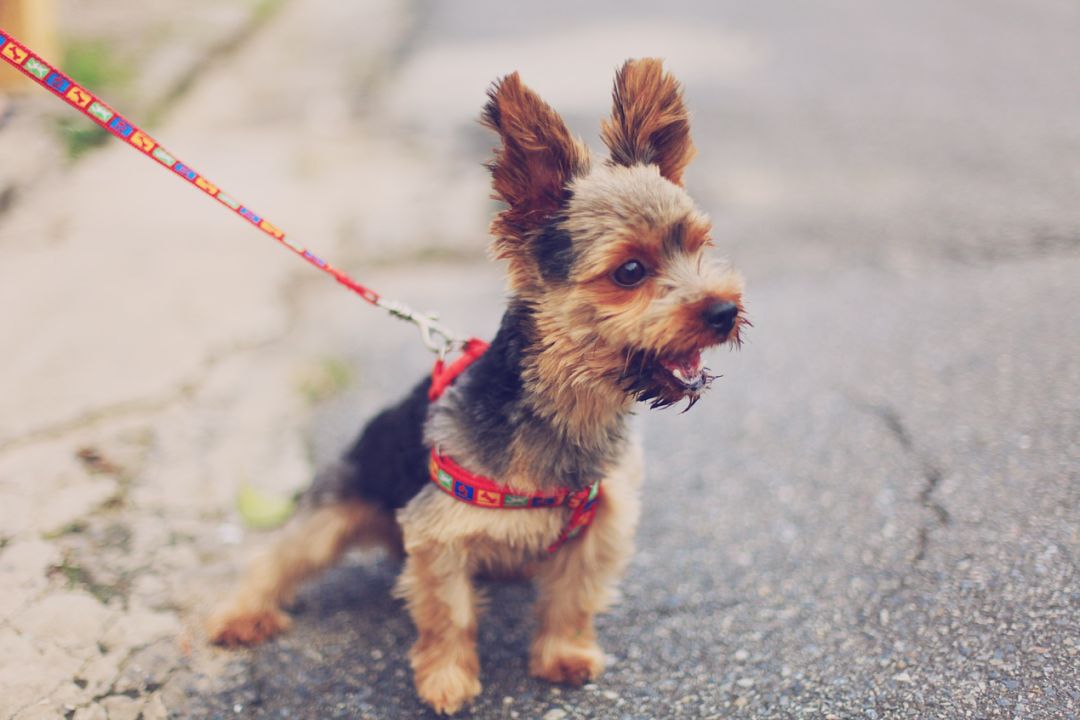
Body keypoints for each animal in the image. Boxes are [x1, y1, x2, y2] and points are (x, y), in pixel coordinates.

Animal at [208, 57, 751, 716]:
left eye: (699, 247)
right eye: (630, 271)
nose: (725, 311)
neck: (569, 407)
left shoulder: (602, 524)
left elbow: (573, 597)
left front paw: (564, 654)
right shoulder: (438, 535)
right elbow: (450, 614)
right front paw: (447, 681)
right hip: (337, 505)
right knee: (277, 556)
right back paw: (241, 615)